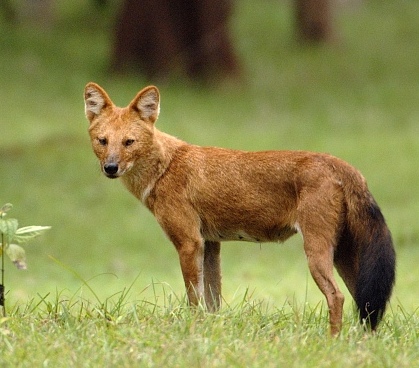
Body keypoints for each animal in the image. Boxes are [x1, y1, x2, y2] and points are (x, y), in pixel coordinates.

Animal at [84, 82, 398, 334]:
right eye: (103, 141)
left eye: (129, 142)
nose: (110, 167)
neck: (165, 167)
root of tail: (339, 163)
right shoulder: (210, 244)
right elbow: (212, 302)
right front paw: (210, 334)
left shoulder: (189, 242)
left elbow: (194, 299)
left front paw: (193, 332)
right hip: (345, 255)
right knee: (366, 302)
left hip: (317, 251)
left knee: (338, 297)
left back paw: (332, 342)